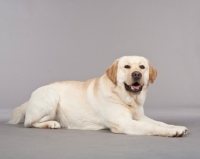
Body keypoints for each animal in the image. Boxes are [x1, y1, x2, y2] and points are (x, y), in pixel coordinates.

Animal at [9, 56, 188, 137]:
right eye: (126, 67)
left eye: (142, 67)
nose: (136, 74)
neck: (125, 98)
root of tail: (29, 98)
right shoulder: (123, 123)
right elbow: (150, 127)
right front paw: (172, 131)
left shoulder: (140, 117)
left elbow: (159, 122)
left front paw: (175, 126)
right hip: (51, 95)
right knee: (29, 122)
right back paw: (51, 123)